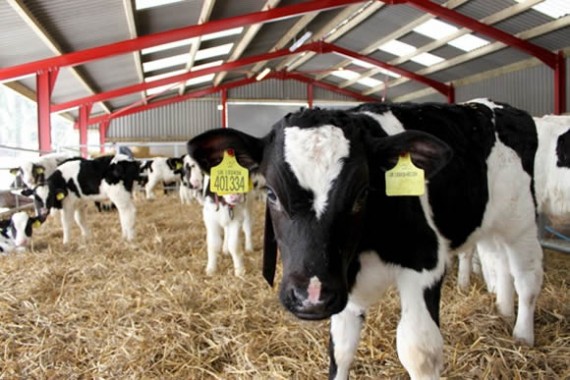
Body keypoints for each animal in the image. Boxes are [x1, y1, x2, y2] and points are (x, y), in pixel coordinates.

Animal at [186, 101, 540, 380]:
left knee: (526, 279)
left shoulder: (424, 263)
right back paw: (503, 310)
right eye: (271, 193)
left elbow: (418, 351)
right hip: (489, 226)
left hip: (522, 222)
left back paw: (523, 335)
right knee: (500, 265)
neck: (363, 250)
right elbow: (341, 349)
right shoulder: (341, 282)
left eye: (361, 193)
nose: (309, 297)